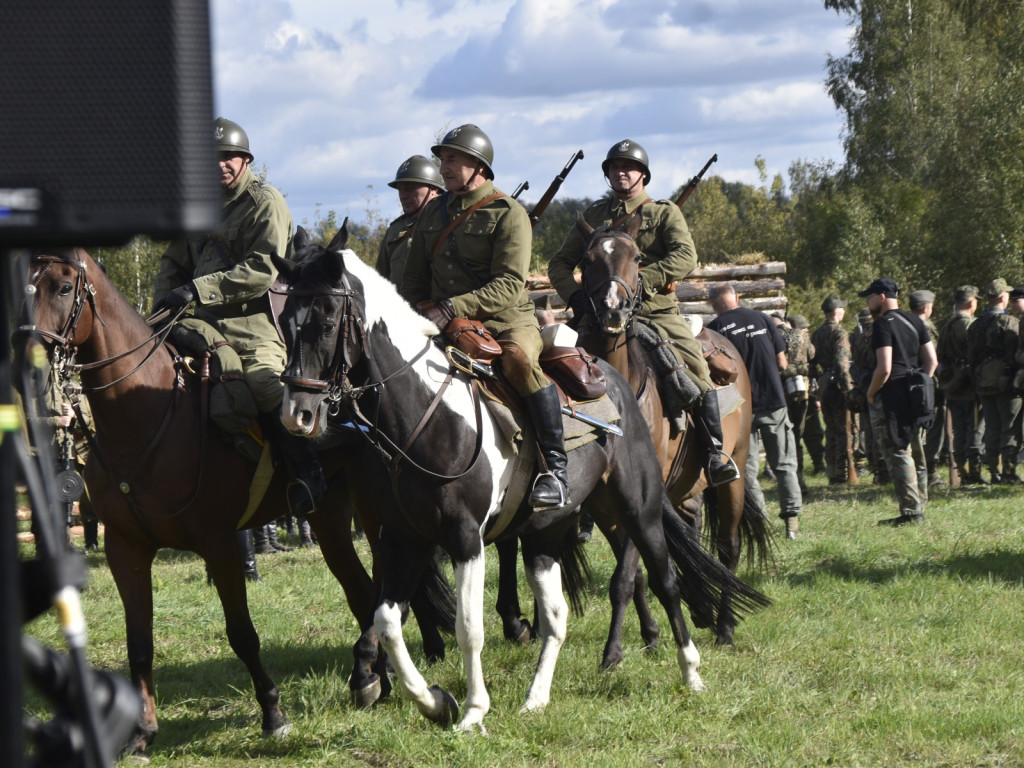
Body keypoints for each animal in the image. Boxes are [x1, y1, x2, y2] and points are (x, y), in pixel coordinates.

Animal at [17, 247, 452, 757]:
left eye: (64, 287)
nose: (26, 366)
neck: (144, 417)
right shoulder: (126, 549)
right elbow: (139, 642)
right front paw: (142, 733)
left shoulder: (219, 544)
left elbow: (242, 633)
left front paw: (273, 713)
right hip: (329, 519)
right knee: (364, 592)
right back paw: (374, 677)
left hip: (377, 515)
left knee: (390, 587)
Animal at [573, 217, 770, 651]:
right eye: (588, 259)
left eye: (637, 258)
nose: (613, 310)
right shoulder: (604, 505)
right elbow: (636, 572)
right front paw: (649, 636)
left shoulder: (643, 496)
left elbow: (625, 574)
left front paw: (614, 650)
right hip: (685, 488)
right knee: (693, 527)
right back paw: (700, 611)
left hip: (734, 471)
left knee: (728, 547)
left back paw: (724, 626)